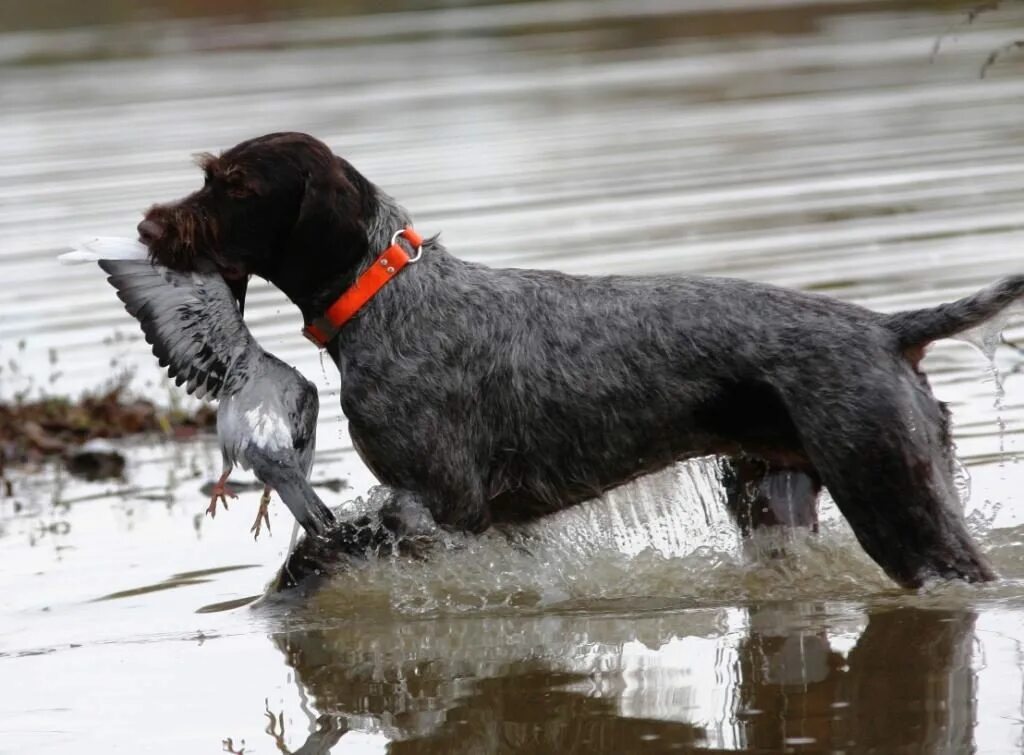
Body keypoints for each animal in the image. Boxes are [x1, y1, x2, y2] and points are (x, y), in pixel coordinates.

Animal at [138, 131, 1024, 590]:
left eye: (233, 184)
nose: (149, 225)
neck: (385, 298)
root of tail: (885, 330)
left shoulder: (447, 506)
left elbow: (321, 546)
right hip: (775, 497)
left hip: (894, 503)